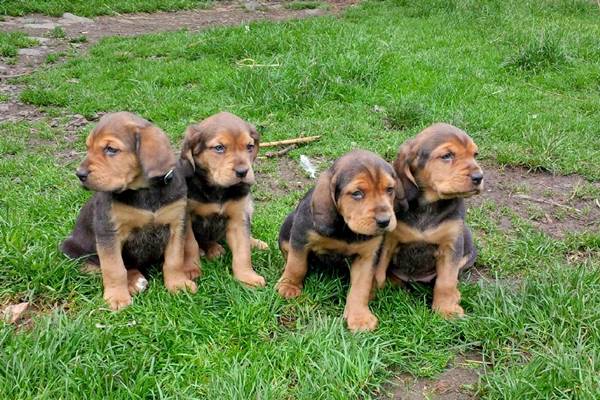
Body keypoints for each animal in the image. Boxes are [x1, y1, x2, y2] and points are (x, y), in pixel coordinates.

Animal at [60, 111, 197, 310]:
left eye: (111, 149)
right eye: (88, 147)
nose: (80, 174)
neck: (144, 190)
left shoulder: (177, 224)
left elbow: (174, 260)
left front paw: (178, 285)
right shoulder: (108, 231)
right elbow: (114, 268)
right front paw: (117, 298)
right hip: (71, 250)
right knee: (99, 266)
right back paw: (133, 281)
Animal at [180, 112, 268, 288]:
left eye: (249, 146)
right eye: (219, 148)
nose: (243, 172)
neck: (218, 189)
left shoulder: (238, 216)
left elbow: (243, 251)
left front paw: (247, 277)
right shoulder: (187, 215)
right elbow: (190, 245)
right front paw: (191, 270)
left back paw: (255, 242)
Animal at [276, 150, 404, 332]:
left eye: (390, 189)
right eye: (357, 193)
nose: (385, 221)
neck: (347, 229)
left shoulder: (368, 255)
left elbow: (361, 286)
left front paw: (359, 317)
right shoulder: (301, 237)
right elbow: (296, 265)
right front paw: (289, 286)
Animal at [376, 122, 482, 318]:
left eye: (475, 155)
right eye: (447, 156)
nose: (479, 177)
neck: (429, 205)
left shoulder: (451, 246)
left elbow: (446, 281)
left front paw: (446, 310)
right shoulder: (388, 241)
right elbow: (378, 270)